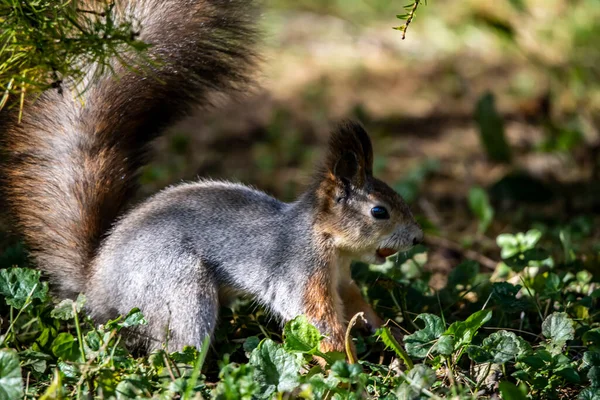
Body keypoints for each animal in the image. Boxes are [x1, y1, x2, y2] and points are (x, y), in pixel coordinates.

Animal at [1, 0, 422, 360]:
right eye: (379, 211)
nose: (418, 238)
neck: (327, 241)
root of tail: (96, 287)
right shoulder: (301, 273)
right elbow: (318, 325)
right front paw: (346, 368)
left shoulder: (343, 281)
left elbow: (357, 305)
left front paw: (392, 335)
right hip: (180, 292)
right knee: (172, 351)